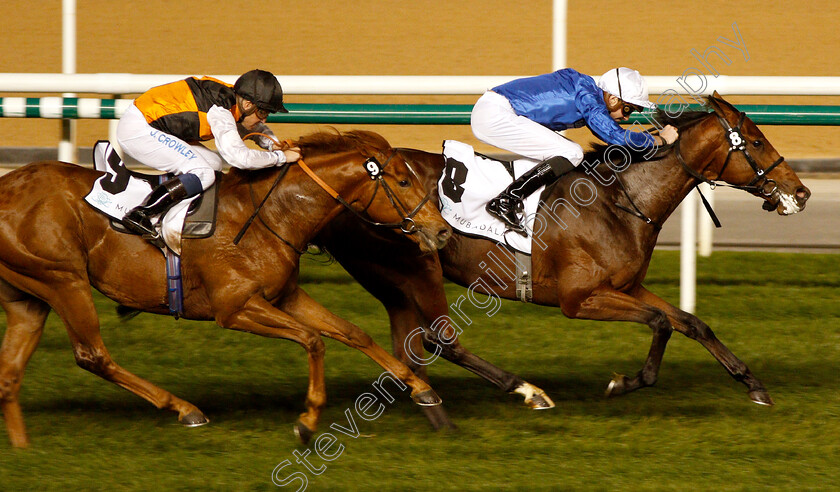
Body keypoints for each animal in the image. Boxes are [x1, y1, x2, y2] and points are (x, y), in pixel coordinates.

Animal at [0, 129, 452, 448]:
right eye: (402, 182)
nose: (442, 231)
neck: (273, 214)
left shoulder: (285, 295)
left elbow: (352, 333)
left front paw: (425, 393)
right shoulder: (235, 308)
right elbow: (313, 340)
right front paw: (307, 422)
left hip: (29, 298)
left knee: (11, 373)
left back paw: (22, 449)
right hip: (64, 280)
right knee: (92, 355)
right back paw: (185, 409)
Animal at [316, 93, 812, 430]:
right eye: (755, 141)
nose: (802, 191)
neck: (620, 202)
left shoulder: (628, 287)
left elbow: (692, 322)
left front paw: (753, 384)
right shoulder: (580, 299)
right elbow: (660, 324)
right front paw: (625, 382)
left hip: (392, 279)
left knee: (410, 348)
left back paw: (428, 402)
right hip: (419, 267)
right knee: (439, 341)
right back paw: (526, 391)